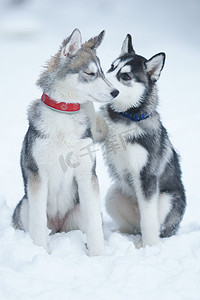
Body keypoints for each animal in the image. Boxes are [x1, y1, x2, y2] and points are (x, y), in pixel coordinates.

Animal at [12, 28, 119, 255]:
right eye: (90, 73)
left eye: (103, 72)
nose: (116, 92)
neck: (64, 113)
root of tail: (59, 225)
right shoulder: (38, 176)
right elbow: (37, 224)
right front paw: (41, 253)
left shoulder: (87, 175)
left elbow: (94, 224)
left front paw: (98, 255)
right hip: (25, 205)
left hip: (78, 210)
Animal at [98, 34, 186, 247]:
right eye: (111, 67)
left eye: (125, 76)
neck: (127, 117)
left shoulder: (146, 177)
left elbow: (148, 220)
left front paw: (150, 248)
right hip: (114, 195)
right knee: (132, 227)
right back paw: (120, 235)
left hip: (166, 199)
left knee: (151, 224)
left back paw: (145, 242)